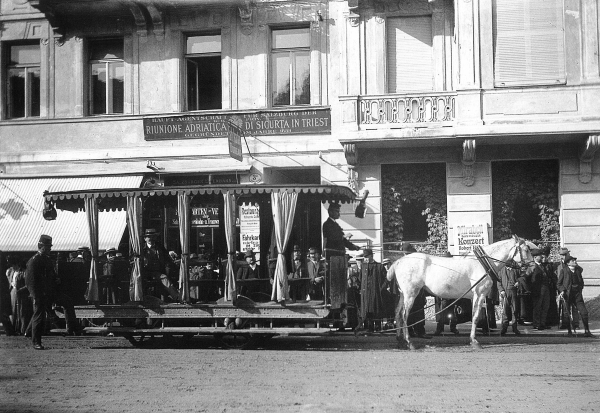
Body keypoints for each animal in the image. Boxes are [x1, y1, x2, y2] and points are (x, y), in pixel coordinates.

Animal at [386, 235, 536, 348]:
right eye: (526, 249)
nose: (533, 268)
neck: (483, 263)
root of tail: (399, 261)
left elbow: (475, 316)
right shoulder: (479, 294)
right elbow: (475, 317)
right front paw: (474, 341)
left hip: (403, 294)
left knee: (398, 313)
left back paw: (400, 341)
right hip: (411, 294)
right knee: (404, 315)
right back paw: (409, 341)